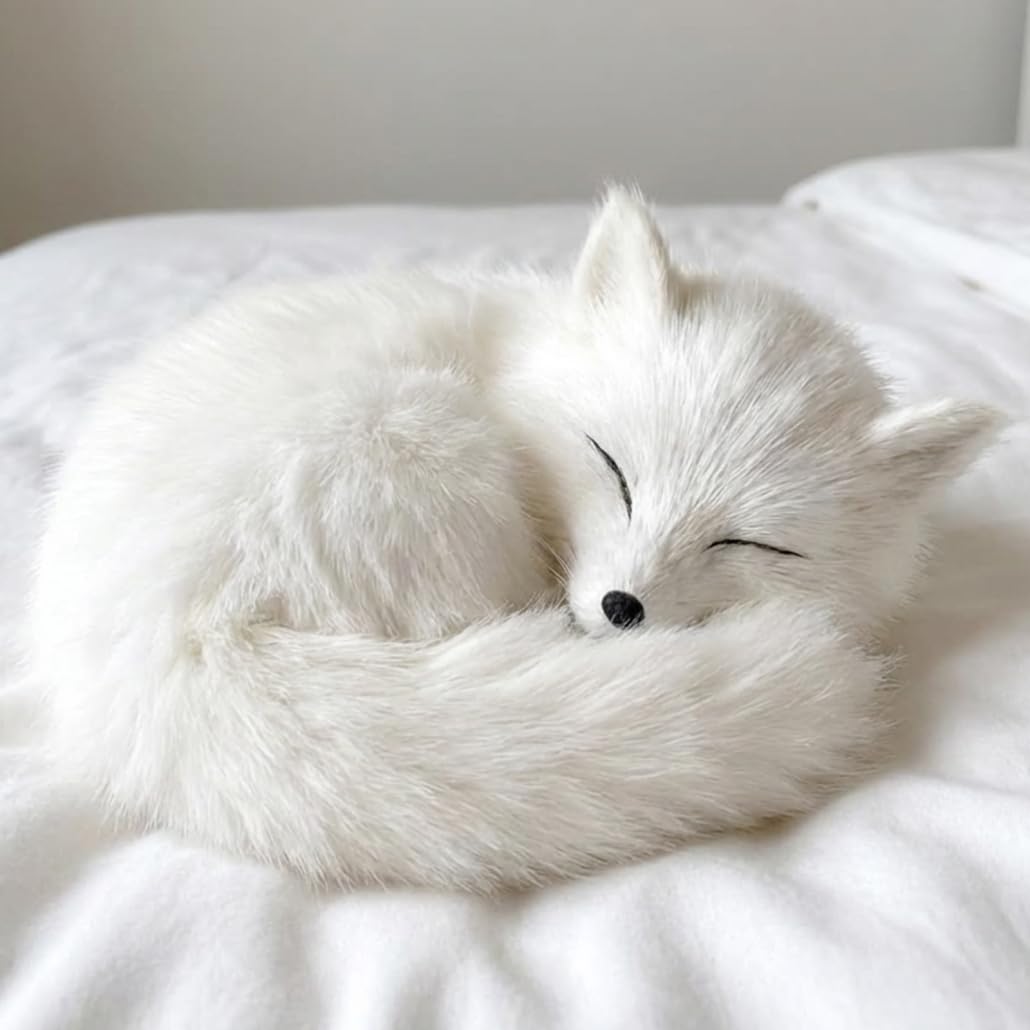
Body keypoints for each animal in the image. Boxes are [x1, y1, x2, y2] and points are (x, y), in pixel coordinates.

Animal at [28, 188, 1001, 892]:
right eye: (613, 467)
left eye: (750, 544)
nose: (623, 606)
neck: (508, 352)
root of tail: (172, 637)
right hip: (421, 442)